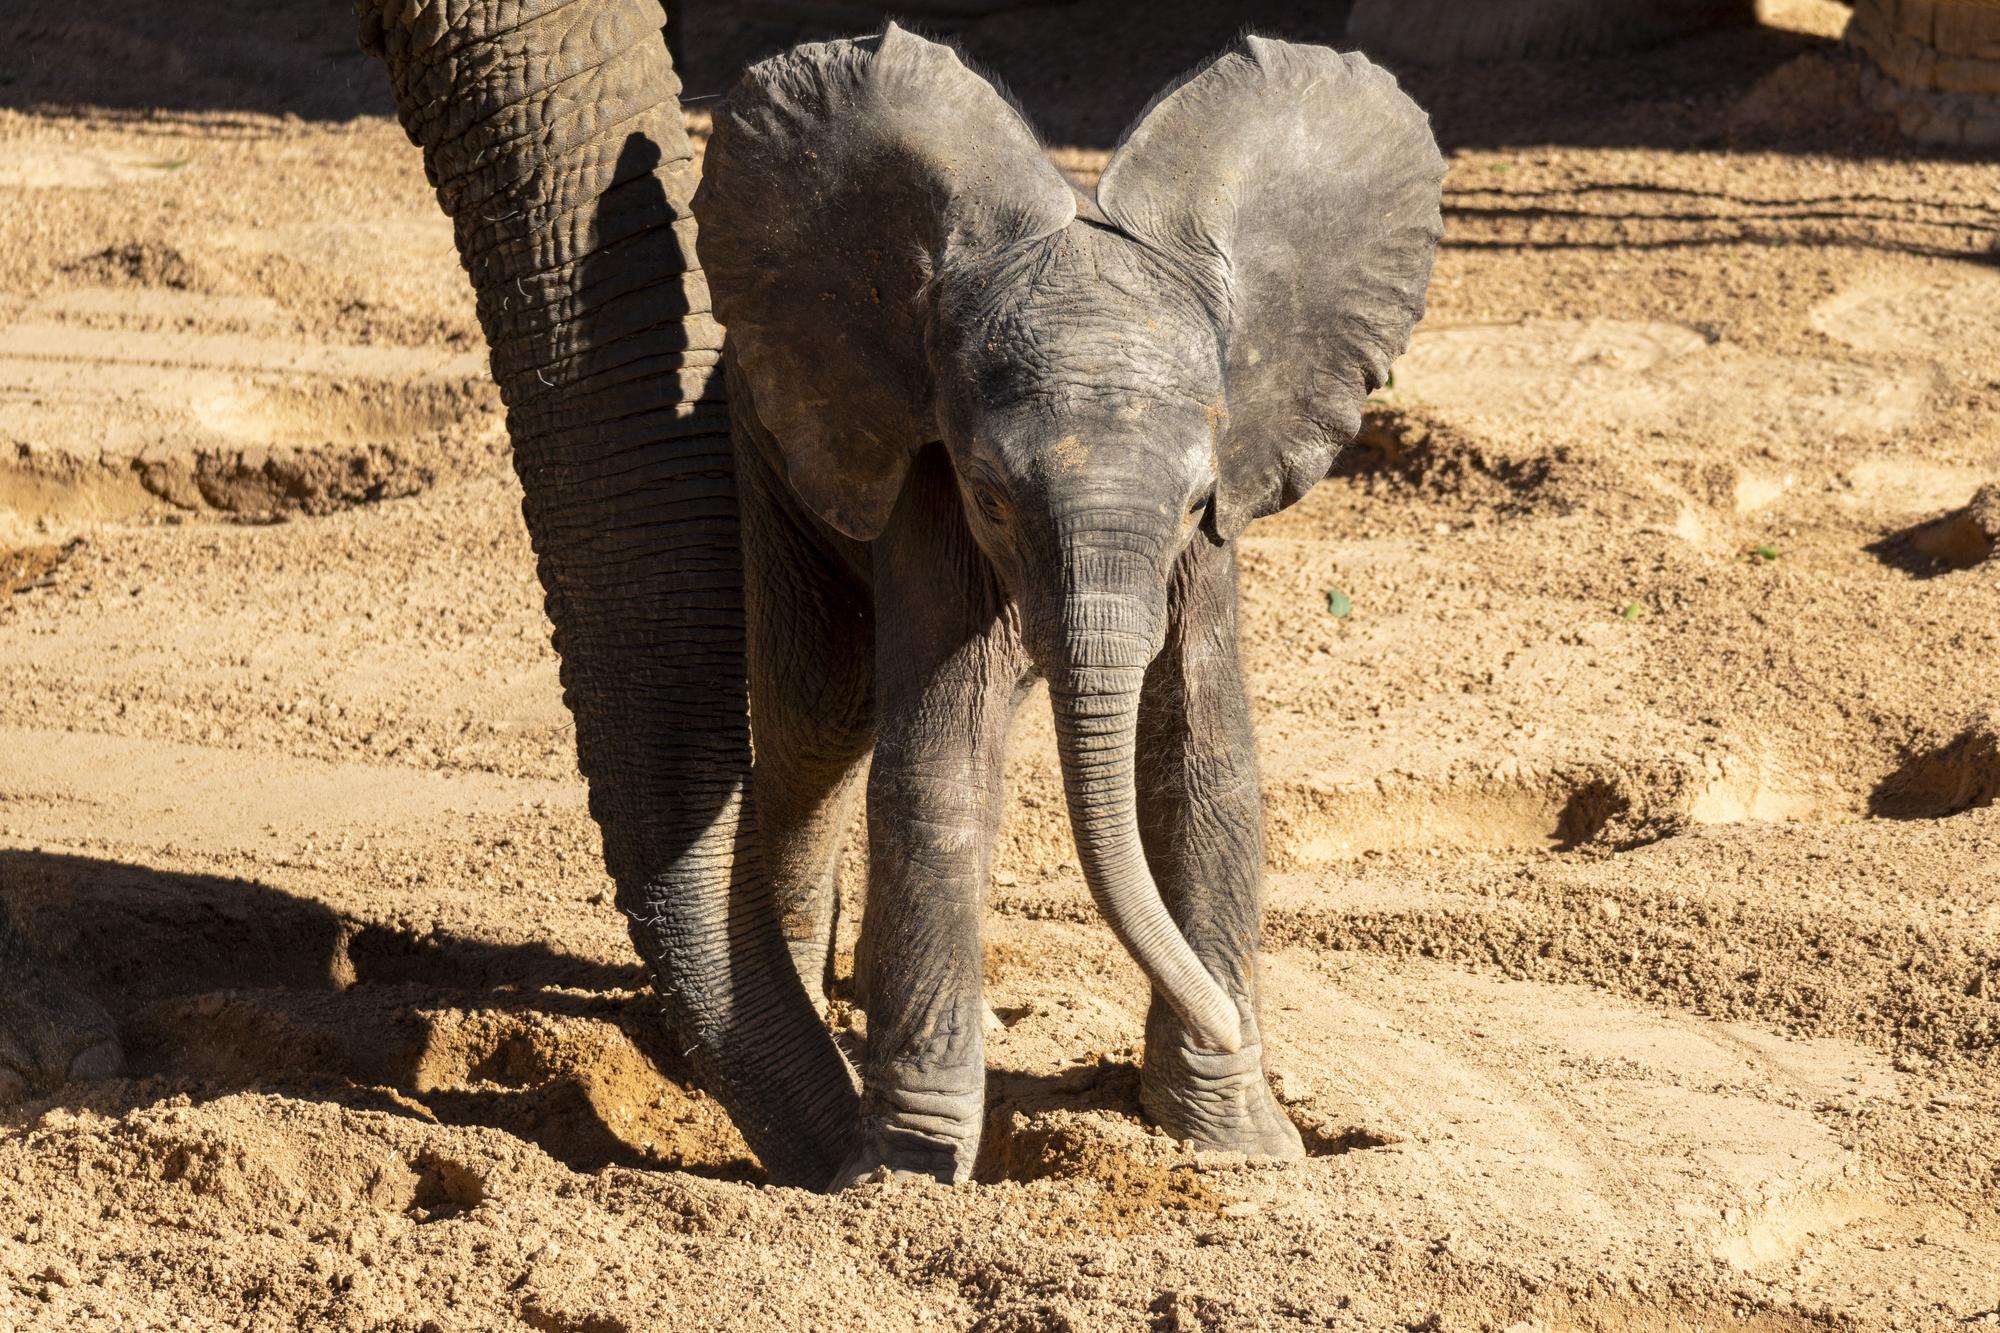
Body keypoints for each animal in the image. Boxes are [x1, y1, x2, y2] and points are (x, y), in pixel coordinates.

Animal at [696, 26, 1448, 1176]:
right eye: (992, 497)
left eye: (1193, 502)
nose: (1227, 1027)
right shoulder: (929, 480)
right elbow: (937, 765)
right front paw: (910, 1172)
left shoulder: (1214, 525)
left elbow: (1203, 759)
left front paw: (1239, 1146)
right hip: (768, 444)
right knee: (819, 724)